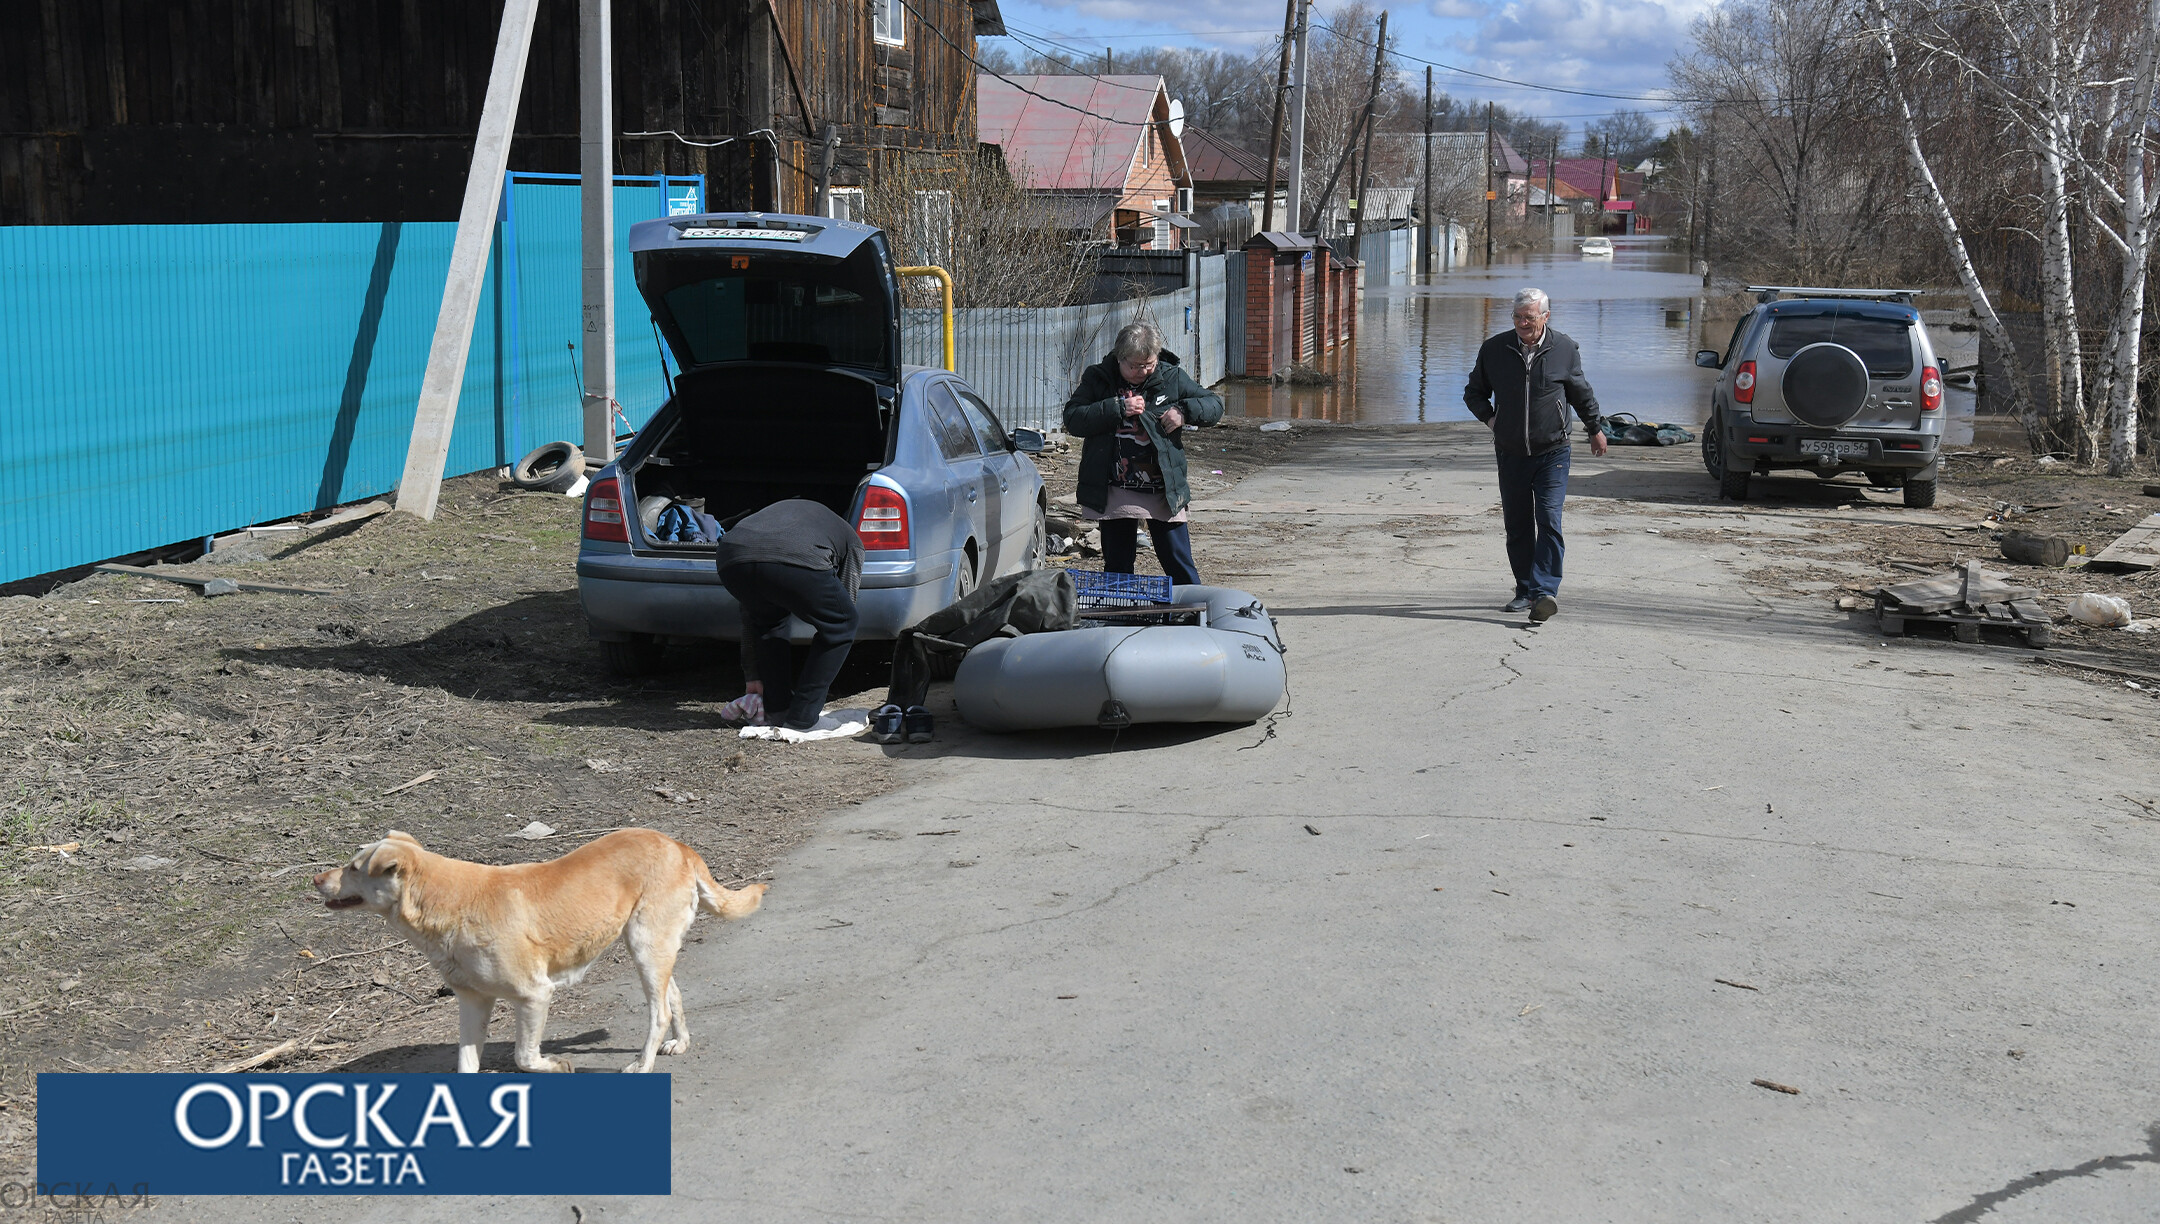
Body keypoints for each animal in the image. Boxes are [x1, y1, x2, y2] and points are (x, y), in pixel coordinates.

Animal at [313, 833, 768, 1070]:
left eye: (354, 867)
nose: (316, 878)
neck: (449, 902)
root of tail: (678, 844)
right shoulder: (472, 1002)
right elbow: (466, 1062)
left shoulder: (534, 995)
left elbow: (524, 1056)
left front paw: (555, 1065)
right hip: (649, 948)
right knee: (673, 995)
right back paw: (679, 1044)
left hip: (645, 945)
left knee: (660, 1012)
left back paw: (644, 1062)